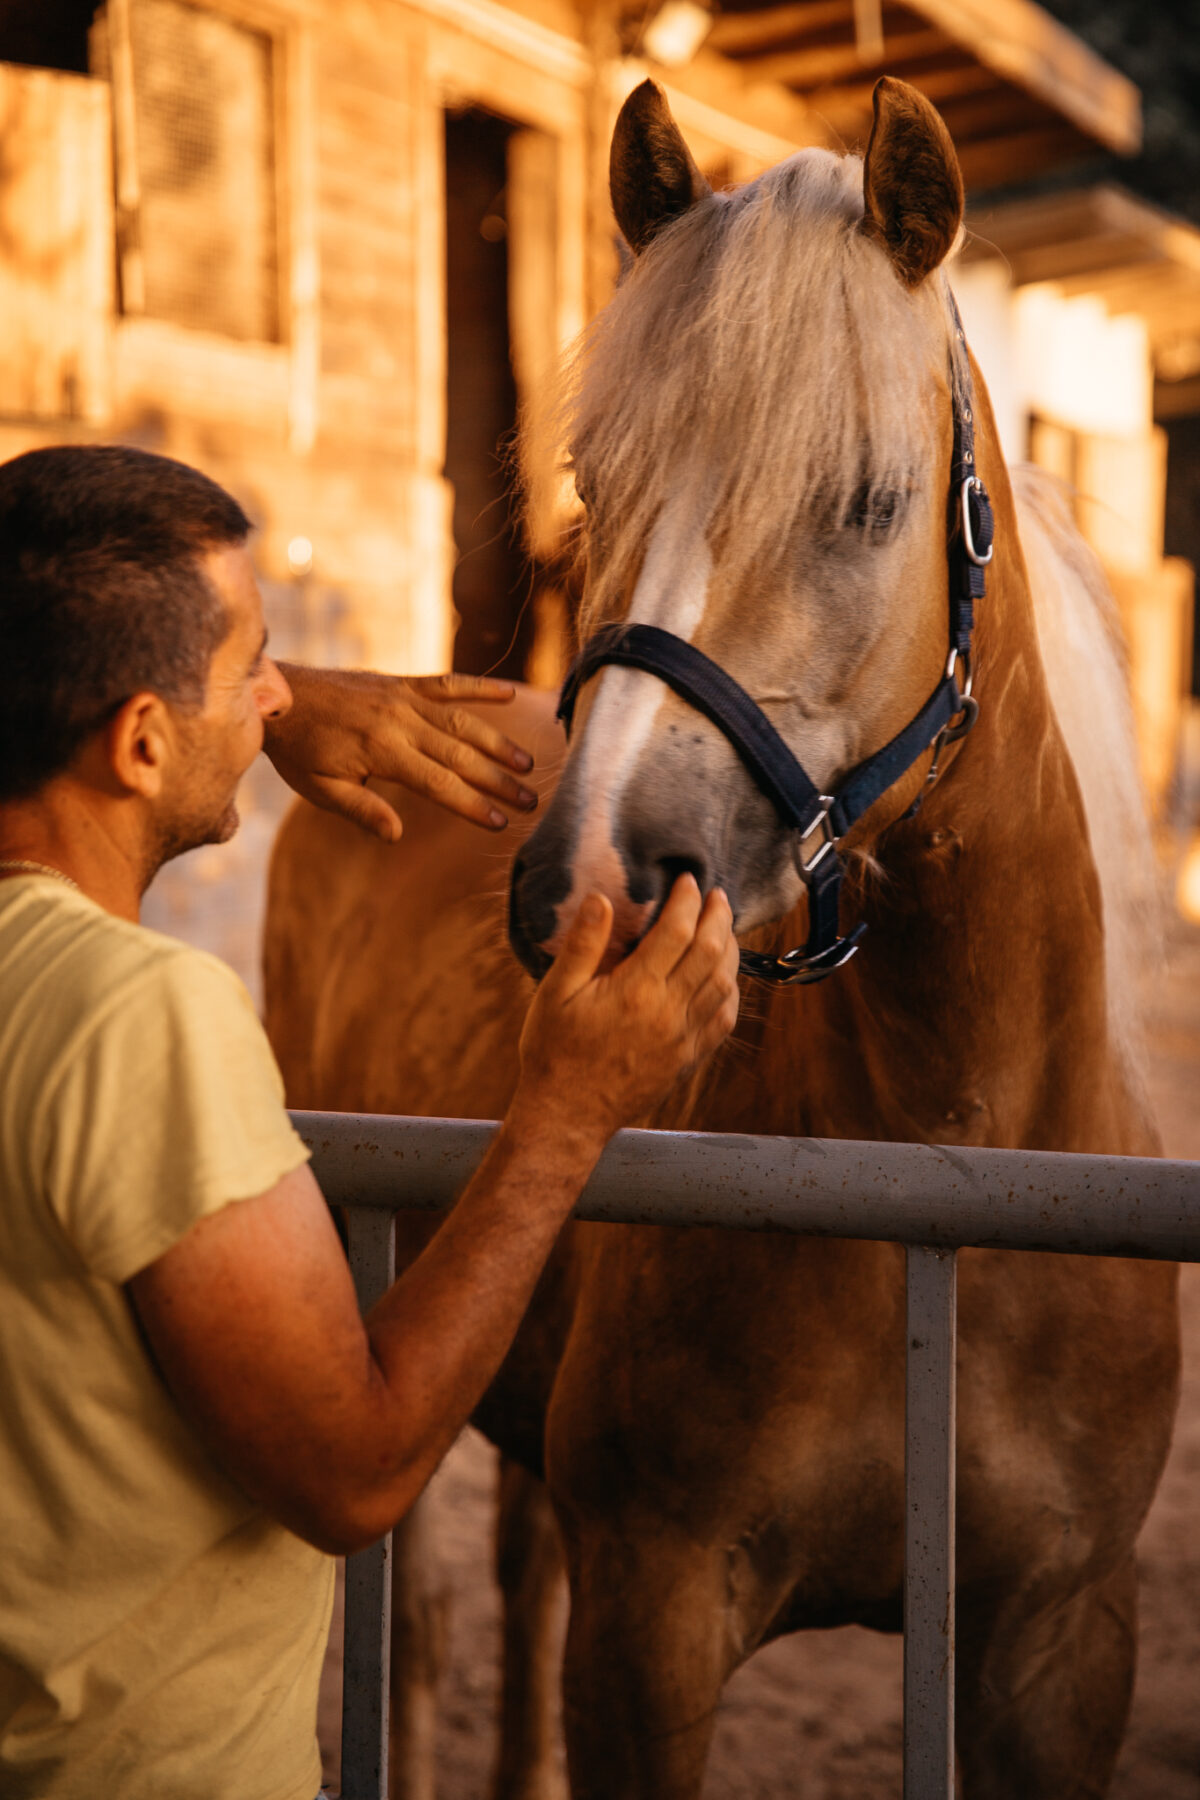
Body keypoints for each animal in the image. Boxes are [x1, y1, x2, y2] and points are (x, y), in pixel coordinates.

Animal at [264, 73, 1180, 1800]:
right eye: (594, 486)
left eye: (870, 502)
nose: (587, 890)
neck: (943, 1157)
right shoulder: (659, 1614)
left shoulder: (1064, 1645)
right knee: (414, 1615)